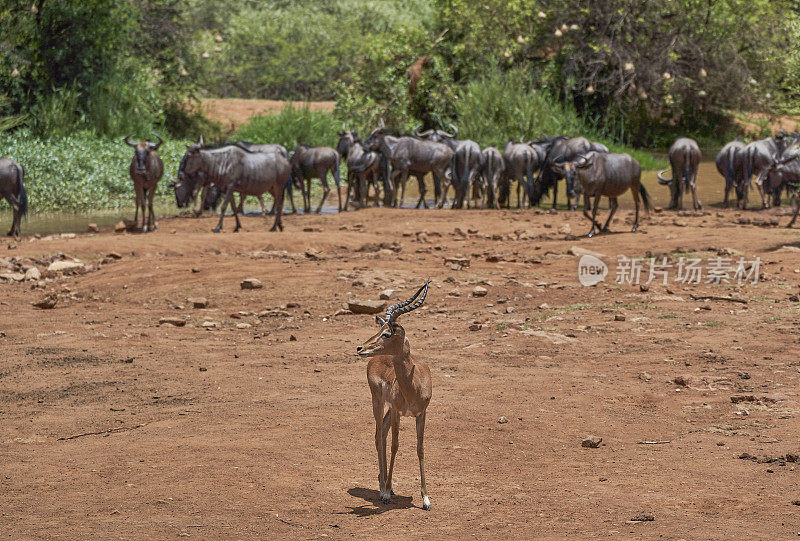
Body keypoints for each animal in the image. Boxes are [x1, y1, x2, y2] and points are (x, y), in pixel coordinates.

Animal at [356, 280, 432, 508]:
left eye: (386, 333)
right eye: (380, 329)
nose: (360, 348)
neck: (413, 385)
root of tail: (375, 359)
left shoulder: (422, 413)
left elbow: (420, 448)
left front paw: (426, 498)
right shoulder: (399, 412)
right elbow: (394, 446)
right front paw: (387, 493)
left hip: (389, 409)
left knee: (381, 432)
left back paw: (386, 485)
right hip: (378, 402)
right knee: (378, 436)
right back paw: (383, 488)